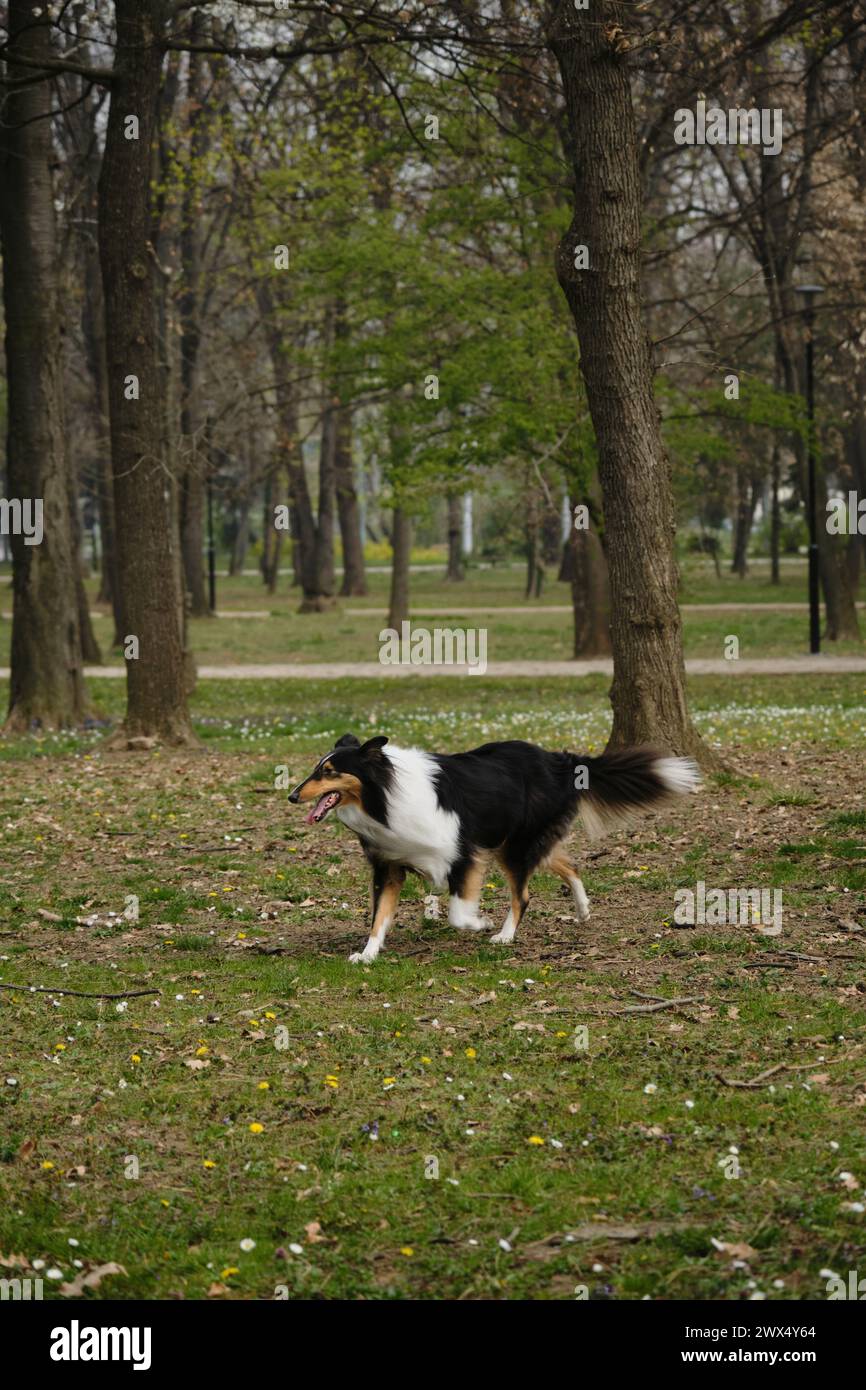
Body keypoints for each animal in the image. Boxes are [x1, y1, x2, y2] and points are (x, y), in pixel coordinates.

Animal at [287, 733, 700, 961]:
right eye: (316, 768)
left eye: (329, 772)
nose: (291, 796)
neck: (385, 794)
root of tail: (562, 760)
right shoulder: (389, 866)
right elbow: (379, 916)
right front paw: (368, 954)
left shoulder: (462, 853)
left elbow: (458, 911)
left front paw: (479, 922)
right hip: (516, 842)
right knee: (569, 864)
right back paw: (582, 909)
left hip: (513, 845)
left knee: (525, 894)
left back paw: (505, 934)